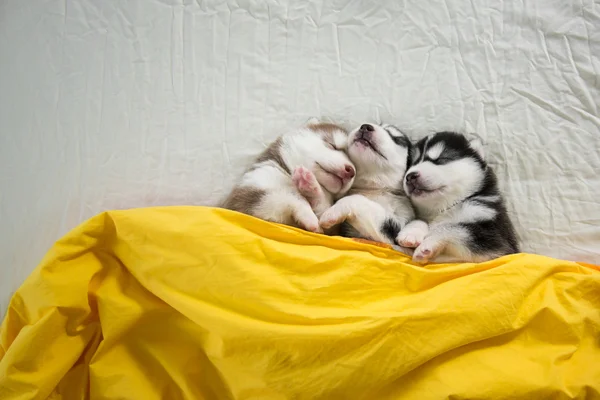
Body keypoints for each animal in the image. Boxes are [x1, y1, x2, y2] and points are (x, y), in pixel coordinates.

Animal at [224, 119, 356, 231]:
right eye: (332, 145)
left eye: (355, 163)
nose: (351, 171)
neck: (288, 174)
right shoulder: (246, 199)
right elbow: (290, 196)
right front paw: (308, 213)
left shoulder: (332, 230)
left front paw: (312, 188)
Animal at [404, 131, 520, 262]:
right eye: (411, 164)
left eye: (442, 159)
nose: (410, 176)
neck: (445, 208)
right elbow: (420, 220)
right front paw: (410, 233)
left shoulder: (495, 239)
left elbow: (452, 227)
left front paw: (428, 243)